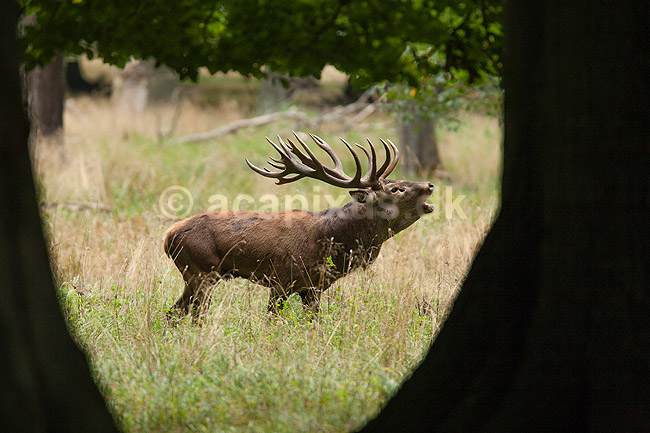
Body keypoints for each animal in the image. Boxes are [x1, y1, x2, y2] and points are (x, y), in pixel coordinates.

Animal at [163, 132, 435, 321]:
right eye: (396, 189)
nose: (430, 185)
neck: (331, 241)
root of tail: (168, 237)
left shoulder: (313, 288)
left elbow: (312, 322)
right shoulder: (280, 280)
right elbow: (271, 321)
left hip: (196, 275)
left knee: (173, 312)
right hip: (201, 271)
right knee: (194, 315)